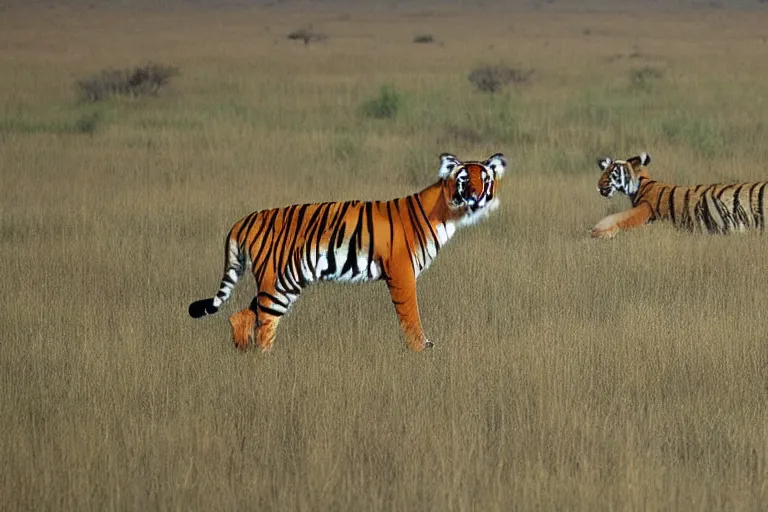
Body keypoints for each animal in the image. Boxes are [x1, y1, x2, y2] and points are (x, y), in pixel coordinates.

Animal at [189, 152, 508, 352]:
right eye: (465, 180)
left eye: (485, 179)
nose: (477, 196)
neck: (447, 213)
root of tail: (243, 220)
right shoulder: (402, 273)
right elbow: (410, 314)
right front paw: (421, 349)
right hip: (278, 280)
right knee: (264, 323)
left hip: (284, 282)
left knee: (241, 316)